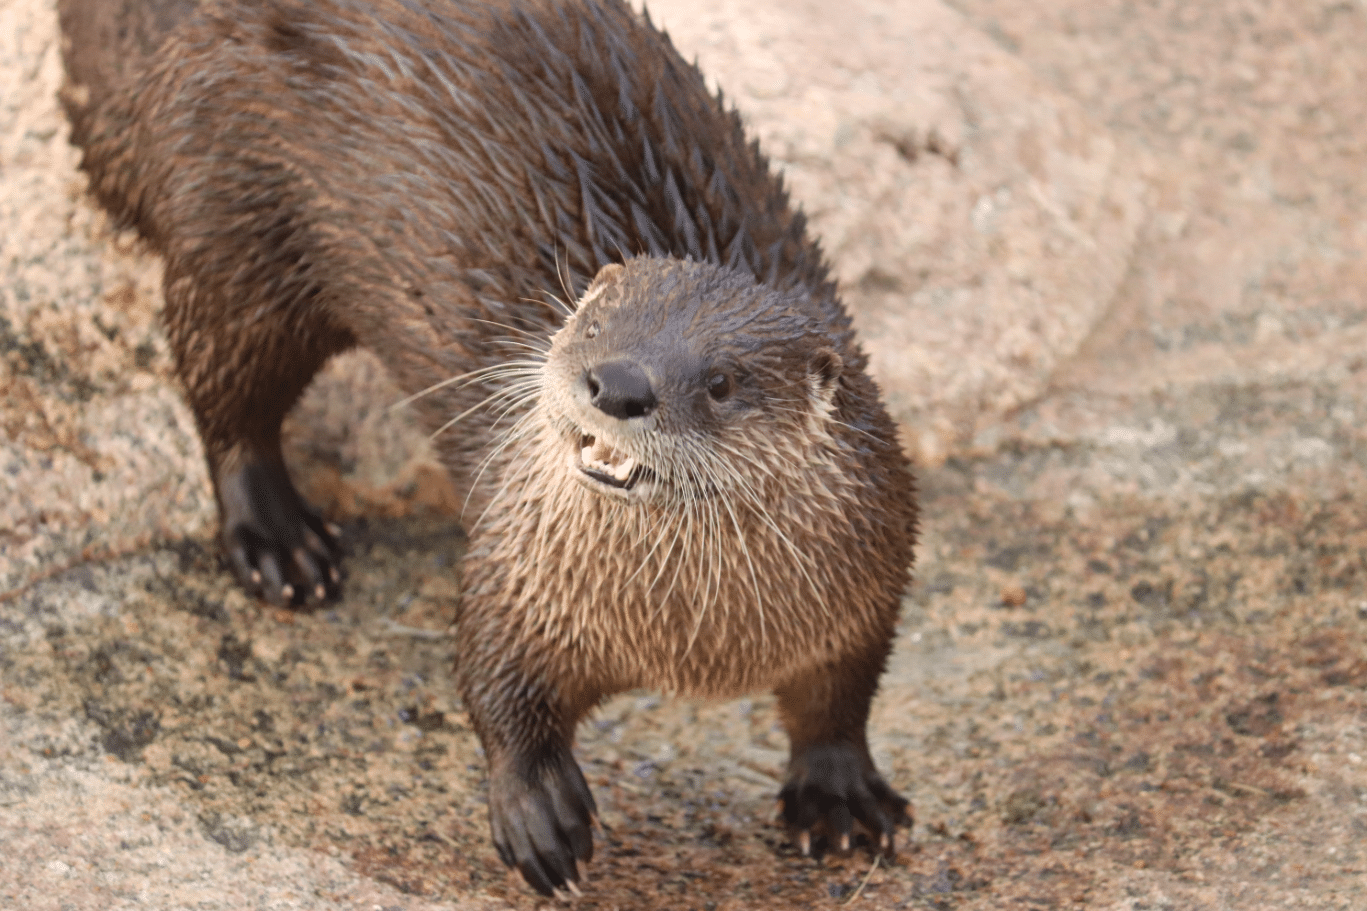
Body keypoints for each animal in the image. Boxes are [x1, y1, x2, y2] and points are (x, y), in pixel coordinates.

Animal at [58, 0, 918, 895]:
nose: (617, 382)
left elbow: (842, 694)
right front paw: (537, 808)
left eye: (720, 380)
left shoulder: (870, 579)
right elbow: (493, 677)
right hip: (232, 220)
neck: (691, 642)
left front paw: (841, 792)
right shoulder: (518, 566)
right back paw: (280, 541)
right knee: (224, 386)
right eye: (590, 319)